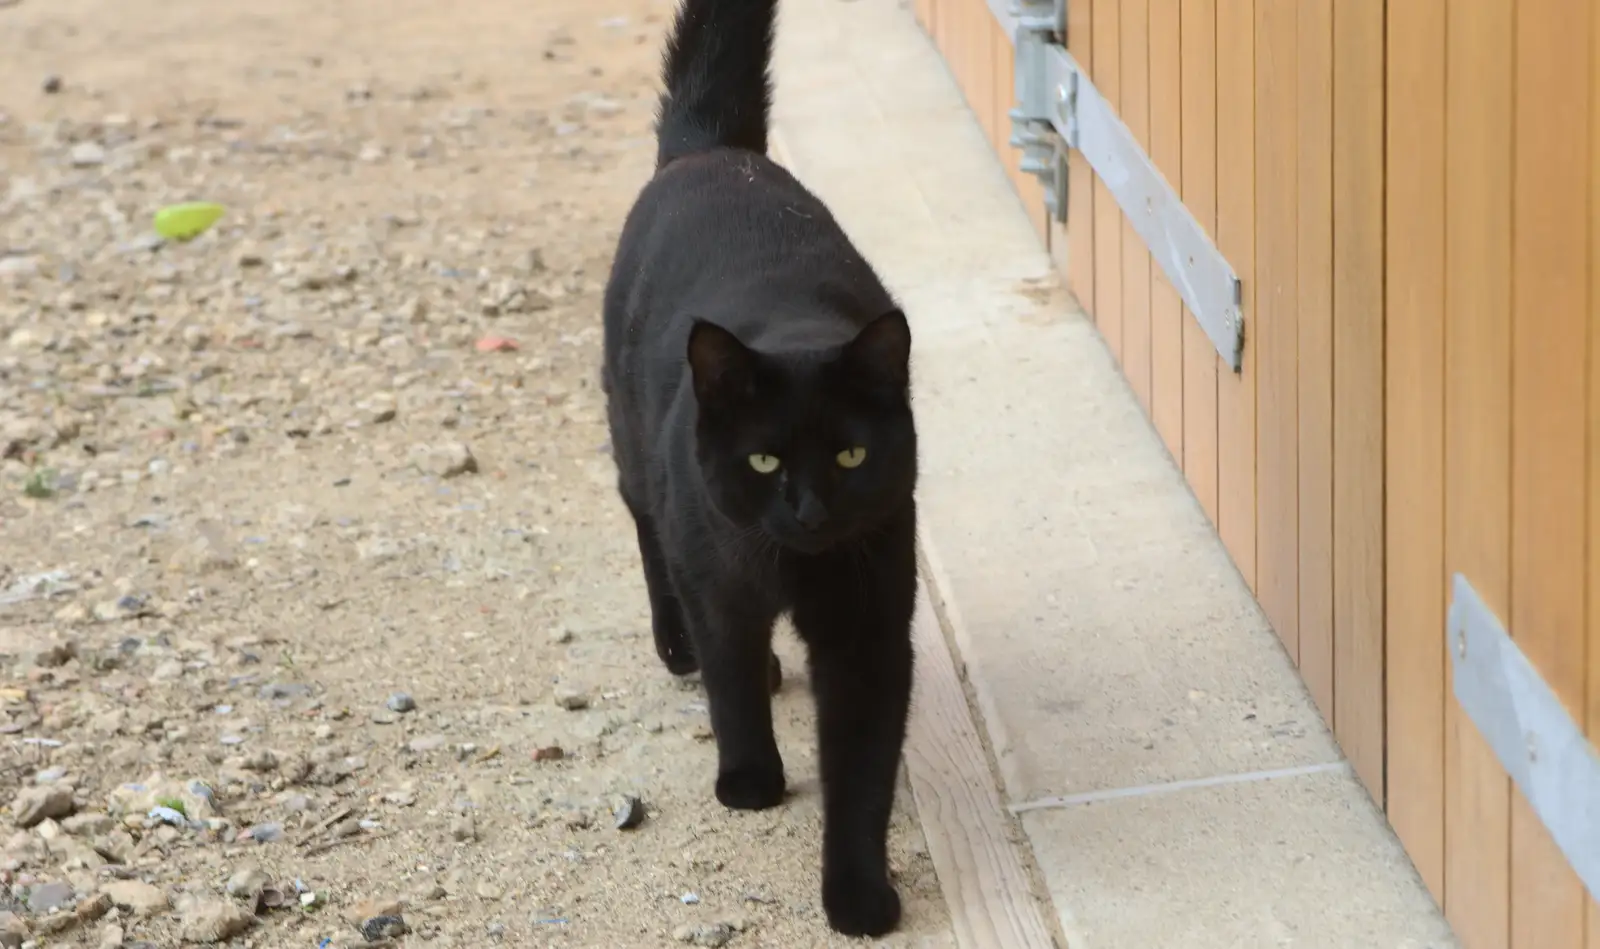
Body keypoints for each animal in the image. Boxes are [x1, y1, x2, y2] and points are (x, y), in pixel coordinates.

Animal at [598, 0, 928, 934]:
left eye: (852, 453)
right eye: (765, 456)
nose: (811, 510)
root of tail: (713, 151)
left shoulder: (868, 624)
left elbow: (862, 771)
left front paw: (859, 895)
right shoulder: (720, 578)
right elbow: (733, 674)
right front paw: (749, 778)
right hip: (638, 451)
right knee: (648, 529)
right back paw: (677, 644)